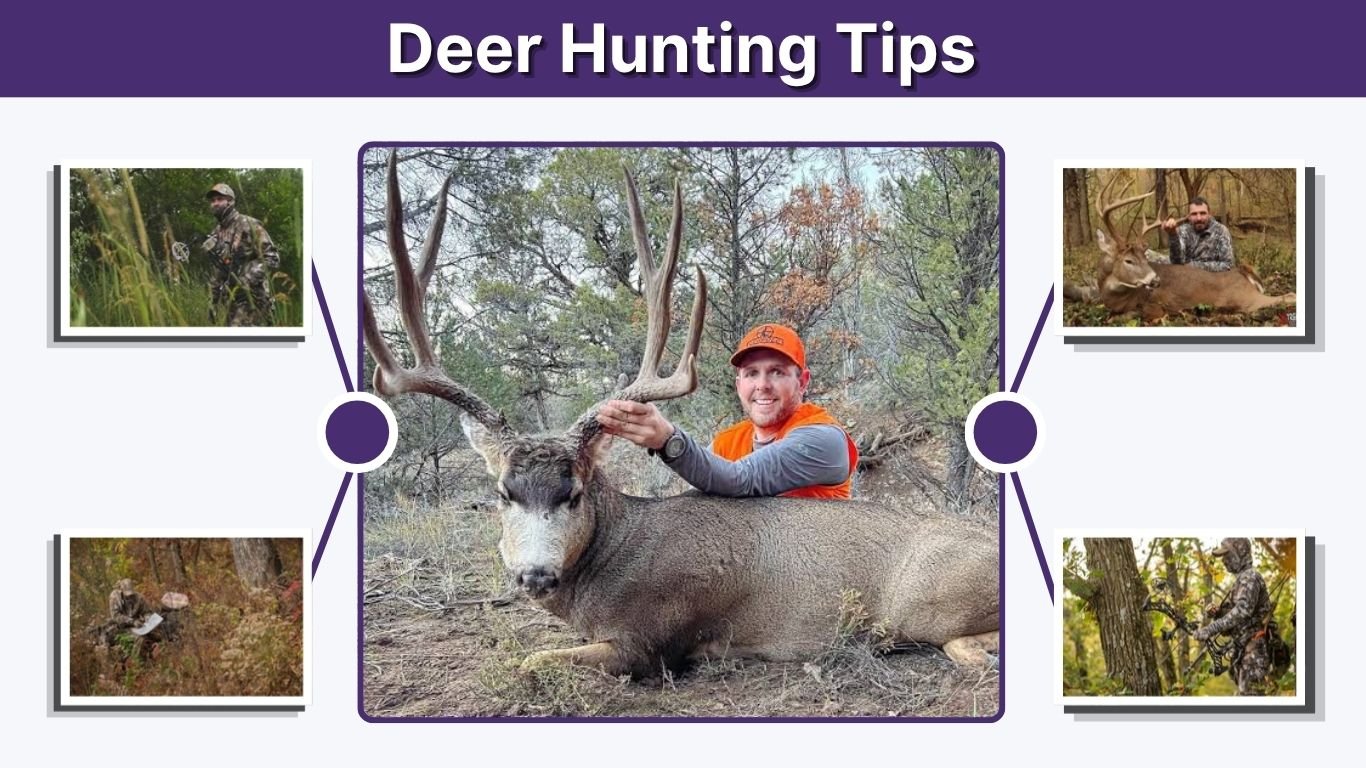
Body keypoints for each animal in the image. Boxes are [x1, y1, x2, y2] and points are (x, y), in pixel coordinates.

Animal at [363, 150, 1000, 679]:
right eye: (503, 493)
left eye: (573, 492)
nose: (534, 575)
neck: (610, 561)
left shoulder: (652, 638)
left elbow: (531, 661)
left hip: (925, 604)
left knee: (958, 642)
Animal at [1067, 173, 1296, 323]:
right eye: (1129, 260)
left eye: (1144, 256)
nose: (1156, 280)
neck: (1114, 297)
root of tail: (1244, 273)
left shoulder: (1155, 308)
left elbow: (1125, 316)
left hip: (1246, 298)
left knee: (1288, 296)